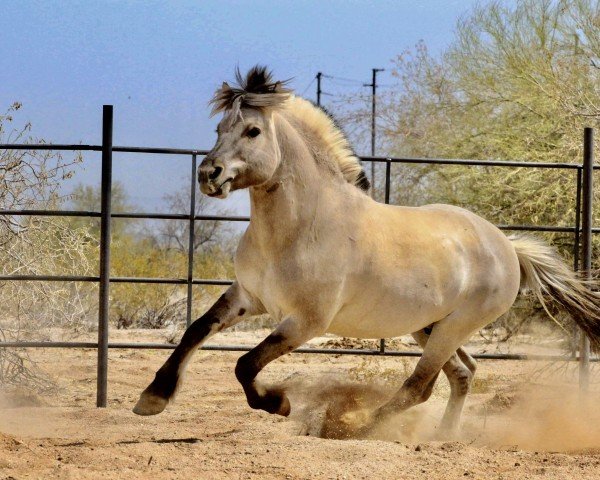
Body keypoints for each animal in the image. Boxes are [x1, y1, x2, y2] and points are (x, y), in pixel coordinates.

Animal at [134, 65, 600, 436]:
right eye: (218, 131)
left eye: (253, 131)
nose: (208, 175)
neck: (299, 228)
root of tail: (507, 246)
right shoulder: (249, 296)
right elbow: (196, 330)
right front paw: (152, 398)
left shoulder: (306, 321)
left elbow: (245, 364)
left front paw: (279, 404)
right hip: (429, 325)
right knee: (463, 374)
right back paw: (443, 436)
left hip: (454, 327)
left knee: (419, 385)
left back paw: (354, 427)